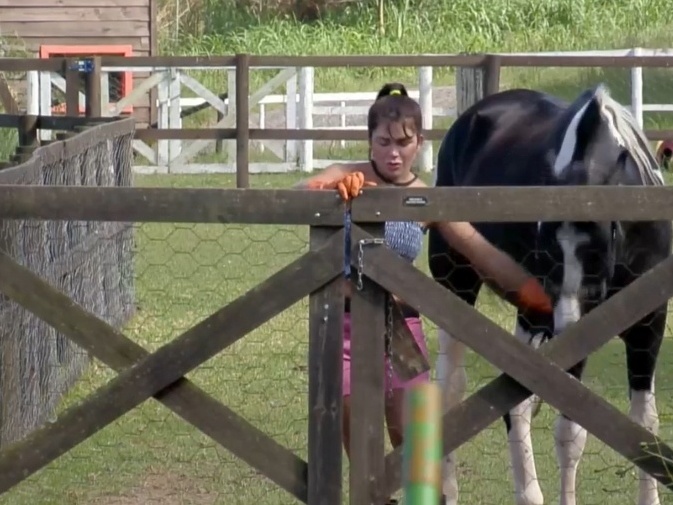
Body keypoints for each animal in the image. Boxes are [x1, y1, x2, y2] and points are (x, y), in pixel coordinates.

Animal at [428, 83, 668, 504]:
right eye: (545, 248)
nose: (568, 327)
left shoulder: (648, 326)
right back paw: (451, 490)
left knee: (518, 406)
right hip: (459, 287)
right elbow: (571, 434)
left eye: (596, 249)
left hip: (533, 320)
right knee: (453, 387)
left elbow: (645, 431)